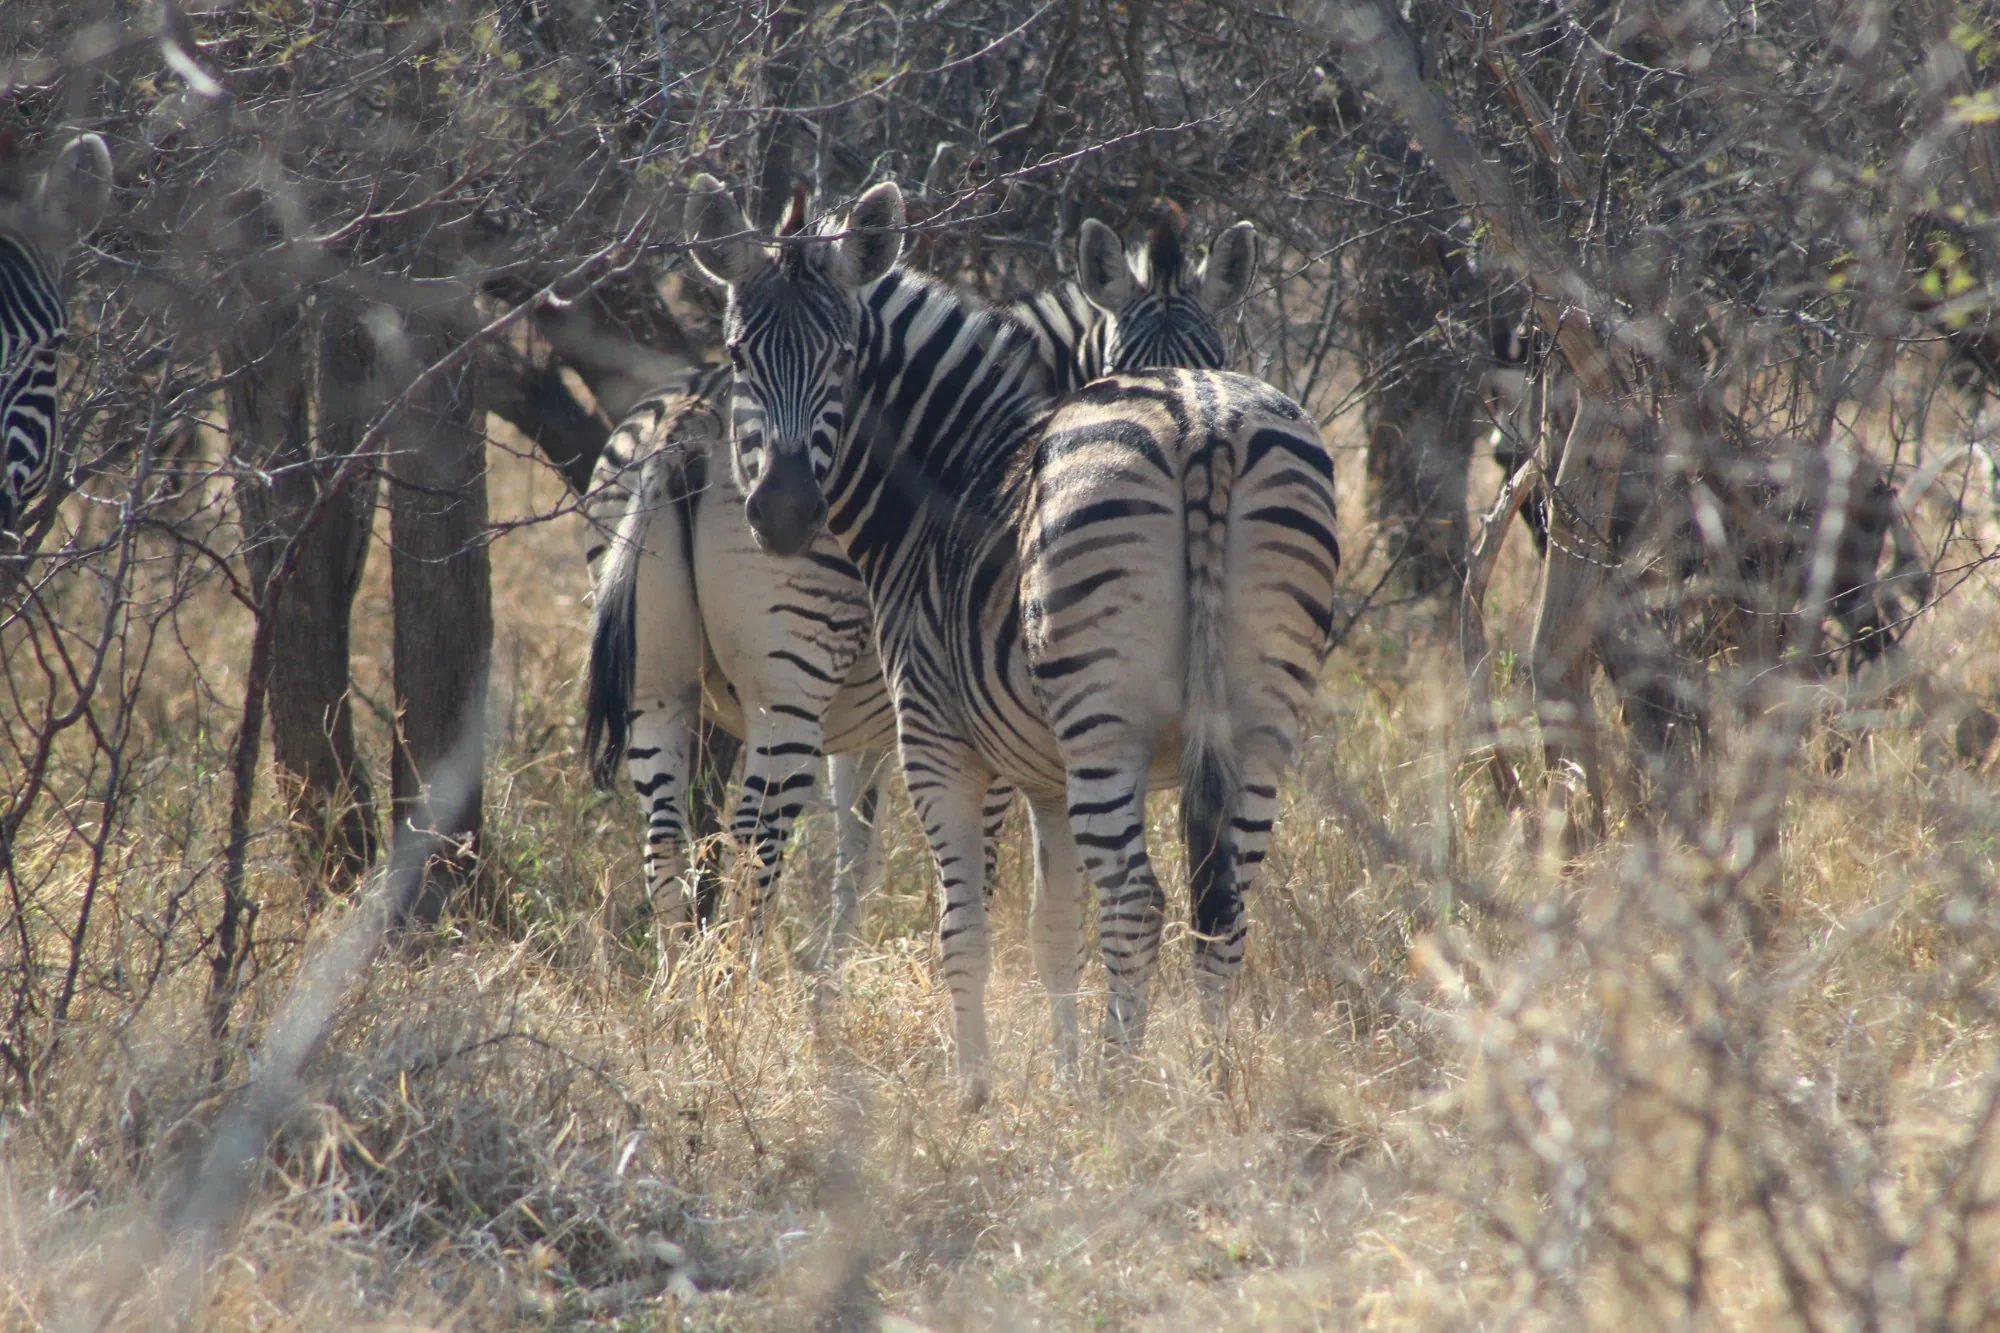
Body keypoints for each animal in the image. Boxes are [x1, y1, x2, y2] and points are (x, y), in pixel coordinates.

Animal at [585, 194, 1261, 958]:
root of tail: (691, 421)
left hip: (655, 684)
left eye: (1217, 361)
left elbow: (855, 854)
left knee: (668, 840)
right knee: (753, 837)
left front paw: (830, 971)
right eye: (1118, 367)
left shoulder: (872, 728)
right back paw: (740, 974)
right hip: (790, 674)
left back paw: (683, 976)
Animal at [683, 175, 1337, 1106]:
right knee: (1225, 905)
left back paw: (1121, 1093)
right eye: (739, 355)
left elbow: (965, 930)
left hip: (1100, 717)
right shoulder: (1045, 777)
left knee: (1139, 902)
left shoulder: (939, 743)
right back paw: (1214, 1084)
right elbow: (1052, 927)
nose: (782, 514)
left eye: (843, 357)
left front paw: (976, 1090)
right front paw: (1058, 1075)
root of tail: (1202, 416)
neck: (946, 478)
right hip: (1260, 716)